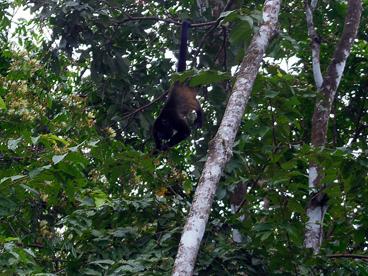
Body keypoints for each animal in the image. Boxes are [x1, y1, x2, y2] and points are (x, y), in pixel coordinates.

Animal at [152, 21, 204, 151]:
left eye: (161, 131)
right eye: (158, 132)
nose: (160, 136)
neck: (165, 119)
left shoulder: (174, 119)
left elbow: (186, 131)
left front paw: (167, 144)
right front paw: (157, 147)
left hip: (190, 87)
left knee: (196, 103)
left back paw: (200, 117)